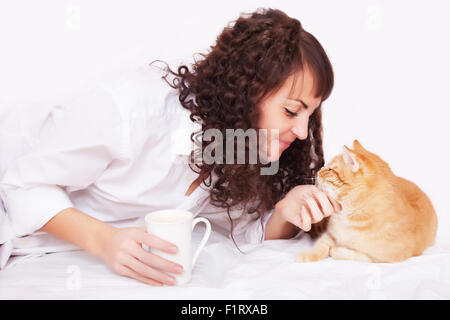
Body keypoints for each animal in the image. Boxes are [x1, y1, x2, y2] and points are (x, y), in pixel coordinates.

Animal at [296, 139, 436, 262]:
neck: (347, 217)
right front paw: (307, 255)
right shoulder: (330, 234)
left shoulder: (386, 258)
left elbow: (354, 254)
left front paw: (337, 249)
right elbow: (321, 245)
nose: (317, 172)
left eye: (330, 169)